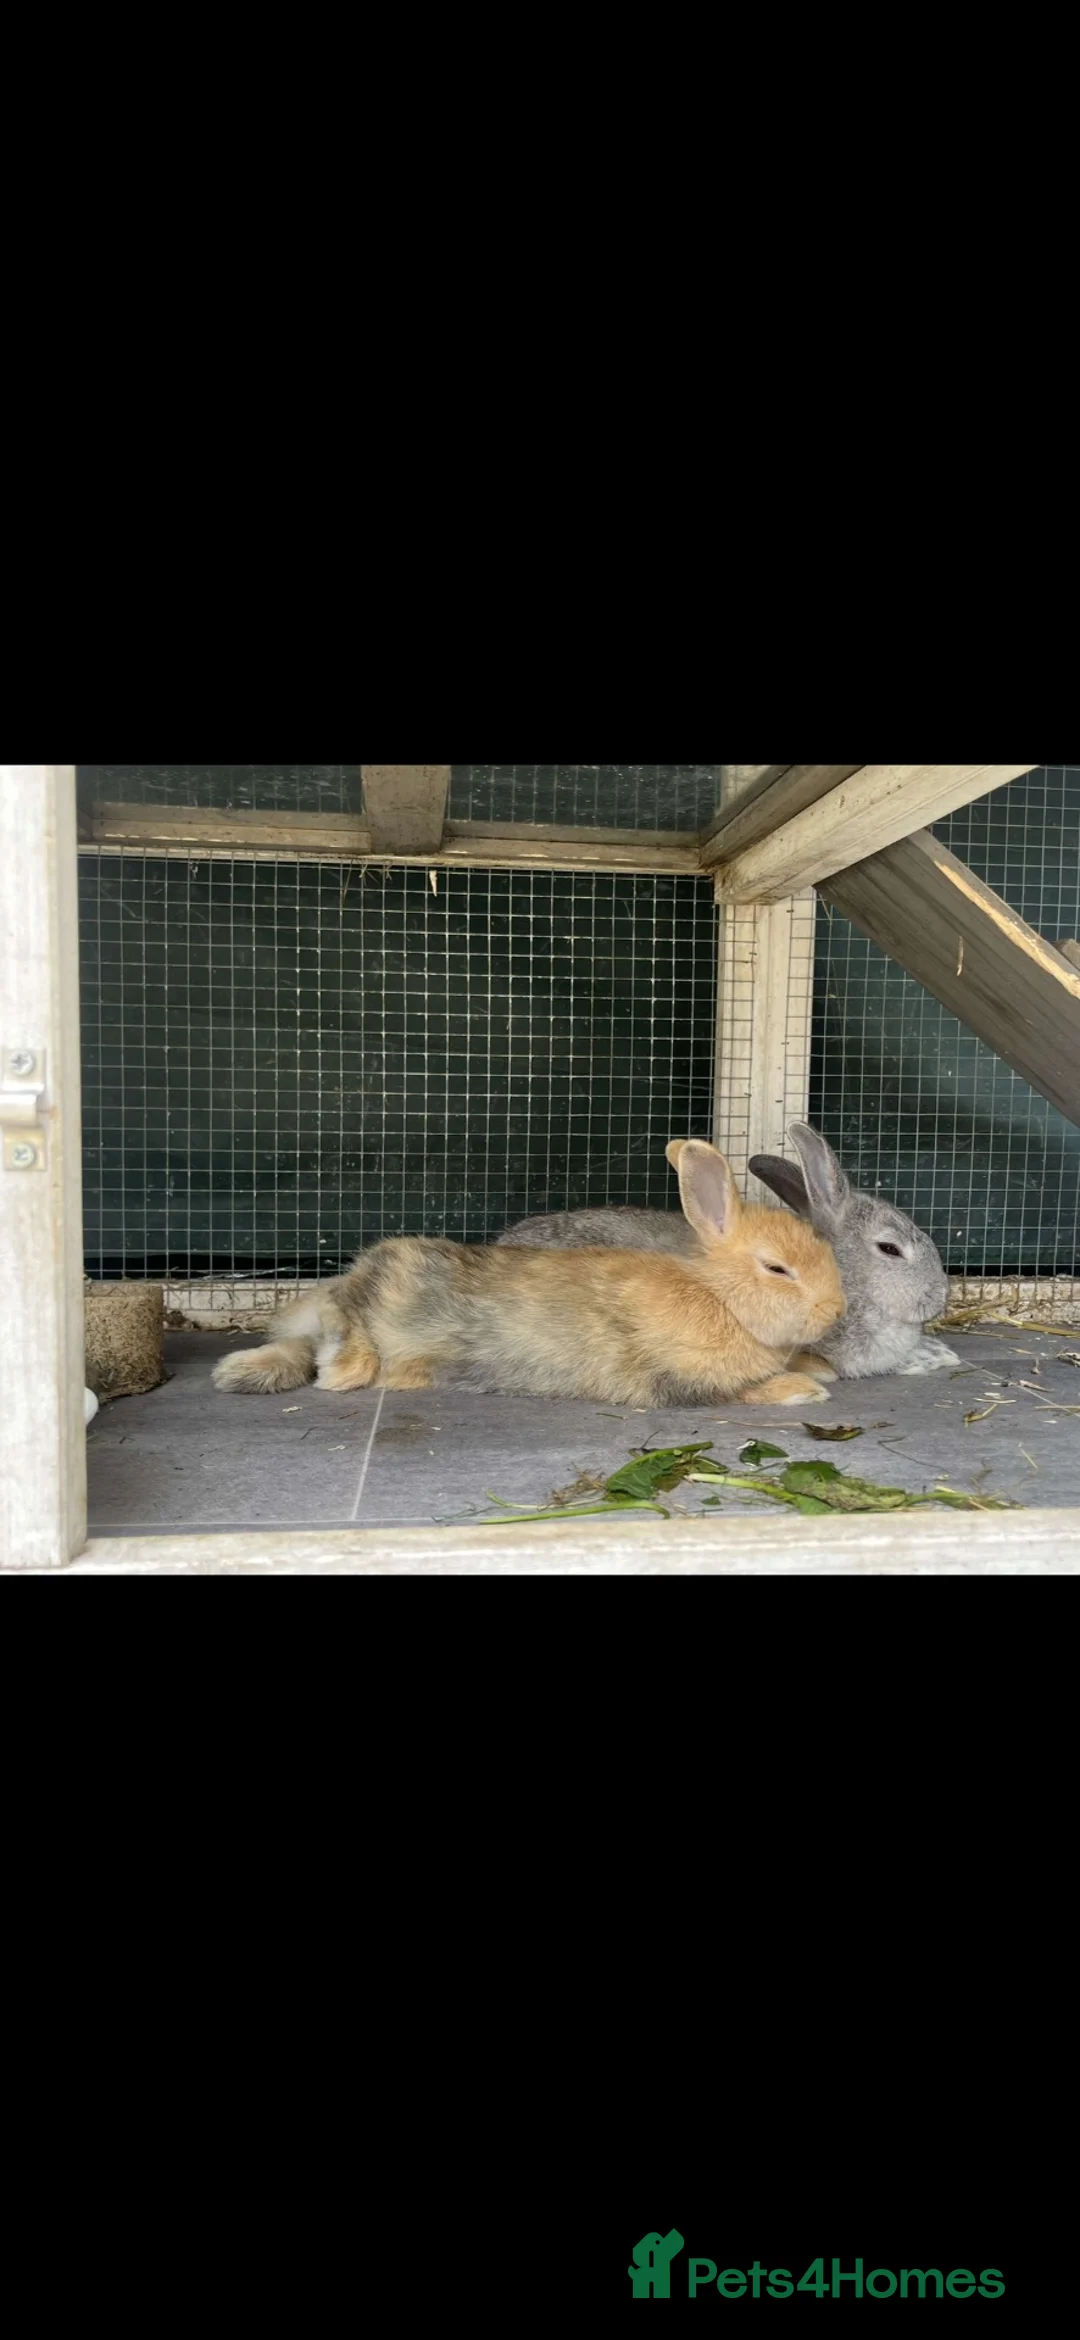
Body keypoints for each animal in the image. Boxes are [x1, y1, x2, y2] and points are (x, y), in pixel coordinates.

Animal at [211, 1138, 846, 1408]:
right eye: (777, 1267)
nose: (835, 1311)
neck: (718, 1297)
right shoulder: (669, 1379)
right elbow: (743, 1391)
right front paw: (805, 1390)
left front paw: (816, 1370)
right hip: (390, 1288)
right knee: (343, 1313)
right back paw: (338, 1370)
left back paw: (242, 1373)